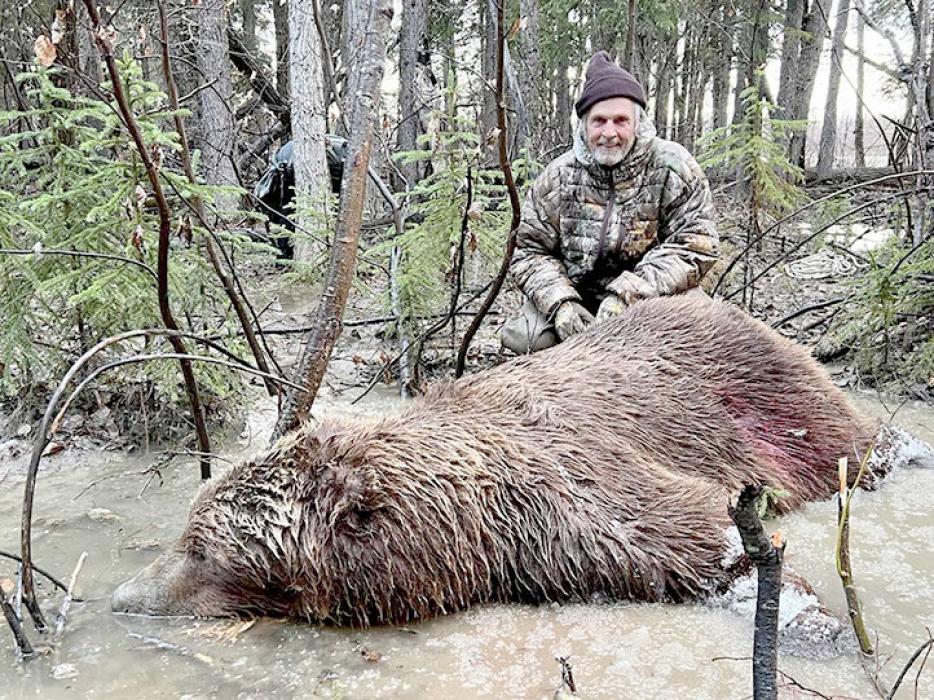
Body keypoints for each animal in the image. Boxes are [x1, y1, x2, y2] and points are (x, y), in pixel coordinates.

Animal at [112, 294, 922, 628]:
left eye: (201, 550)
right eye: (187, 532)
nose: (122, 595)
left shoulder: (573, 492)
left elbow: (693, 532)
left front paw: (805, 615)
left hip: (773, 399)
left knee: (851, 442)